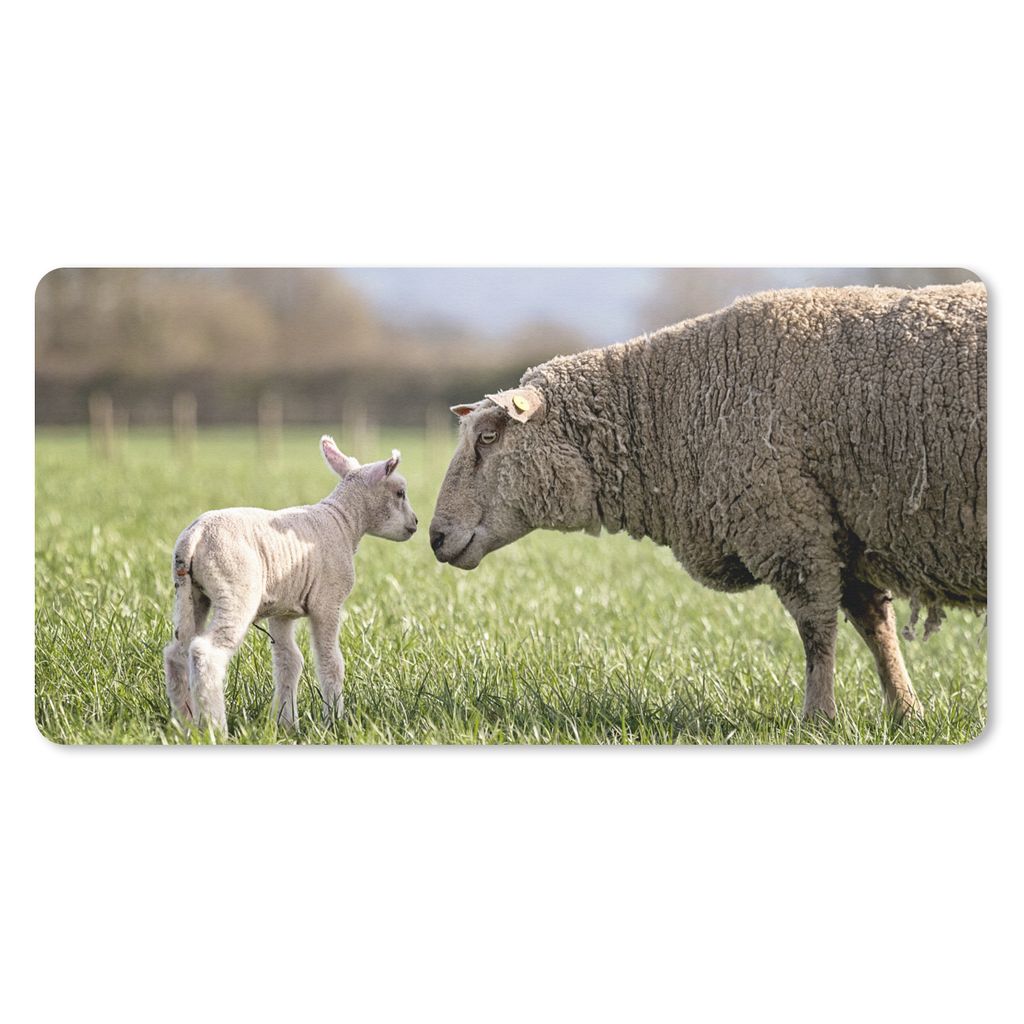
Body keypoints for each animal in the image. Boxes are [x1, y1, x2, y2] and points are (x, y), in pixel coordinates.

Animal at [163, 437, 418, 734]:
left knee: (177, 653)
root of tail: (195, 536)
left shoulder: (282, 610)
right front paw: (334, 721)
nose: (415, 523)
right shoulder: (327, 602)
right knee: (206, 652)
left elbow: (289, 662)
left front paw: (286, 724)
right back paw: (216, 728)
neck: (344, 521)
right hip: (235, 589)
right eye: (400, 493)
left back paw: (184, 724)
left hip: (189, 593)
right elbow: (331, 662)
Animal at [430, 282, 987, 721]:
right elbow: (876, 627)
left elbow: (816, 631)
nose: (435, 536)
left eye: (489, 437)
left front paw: (819, 719)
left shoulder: (790, 528)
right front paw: (906, 712)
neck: (672, 409)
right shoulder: (838, 527)